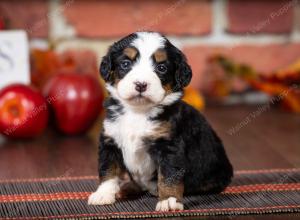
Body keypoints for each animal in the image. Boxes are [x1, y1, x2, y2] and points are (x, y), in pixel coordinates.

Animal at [88, 31, 233, 211]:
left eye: (161, 68)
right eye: (125, 64)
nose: (141, 84)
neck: (138, 112)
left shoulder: (170, 146)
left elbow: (169, 176)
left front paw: (169, 200)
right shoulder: (110, 140)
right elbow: (108, 170)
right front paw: (103, 194)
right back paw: (127, 187)